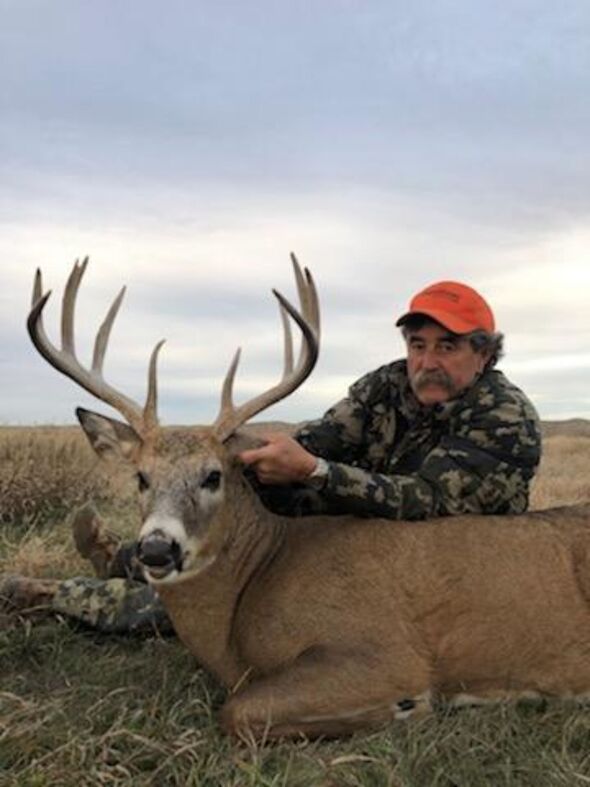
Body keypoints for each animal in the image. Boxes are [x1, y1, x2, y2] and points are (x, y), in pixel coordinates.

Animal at [27, 256, 590, 740]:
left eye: (214, 476)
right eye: (140, 477)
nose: (157, 548)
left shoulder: (385, 651)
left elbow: (238, 711)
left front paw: (407, 709)